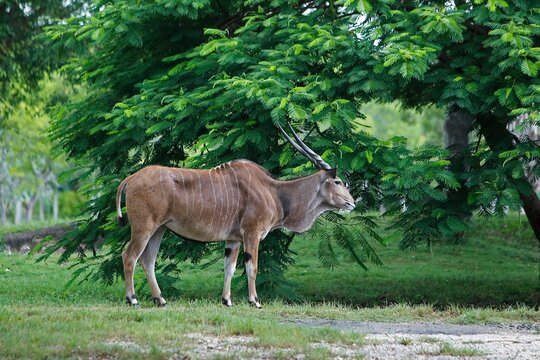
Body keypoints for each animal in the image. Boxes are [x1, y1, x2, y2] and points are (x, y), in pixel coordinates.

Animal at [116, 124, 356, 306]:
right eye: (338, 181)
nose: (352, 203)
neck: (273, 191)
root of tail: (131, 178)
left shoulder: (233, 239)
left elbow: (229, 268)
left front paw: (227, 300)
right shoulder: (251, 233)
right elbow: (252, 266)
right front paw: (255, 301)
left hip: (160, 229)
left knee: (147, 260)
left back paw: (160, 299)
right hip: (144, 227)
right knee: (129, 255)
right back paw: (132, 299)